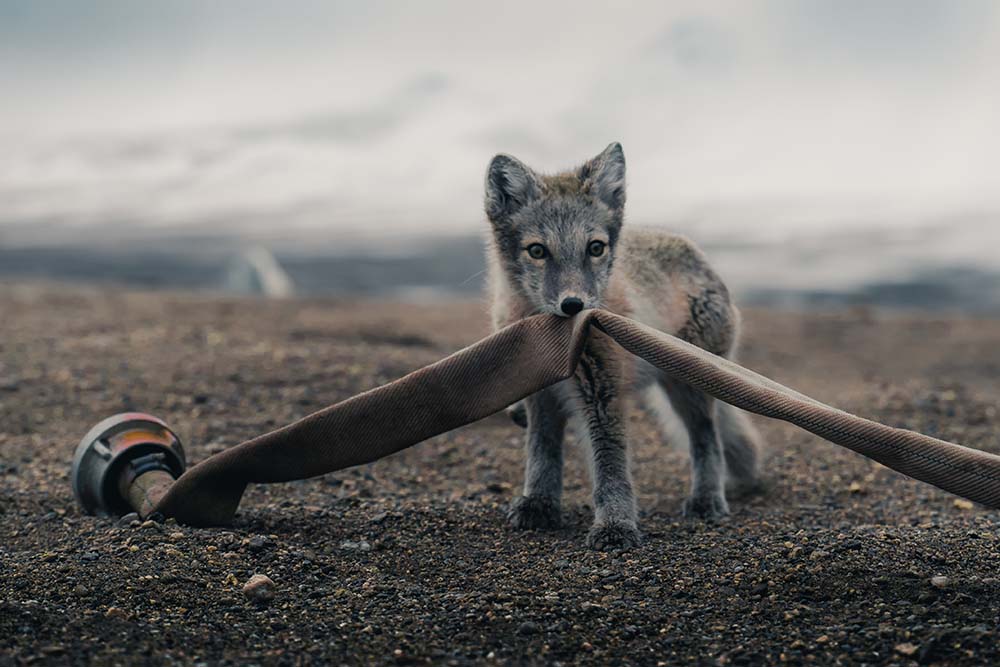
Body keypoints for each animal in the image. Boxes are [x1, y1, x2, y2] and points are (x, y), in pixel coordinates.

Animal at [486, 144, 764, 552]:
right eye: (537, 251)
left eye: (595, 248)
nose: (574, 305)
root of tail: (697, 255)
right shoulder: (541, 394)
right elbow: (542, 453)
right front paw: (539, 504)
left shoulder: (603, 394)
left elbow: (611, 467)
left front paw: (615, 526)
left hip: (688, 389)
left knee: (707, 440)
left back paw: (706, 500)